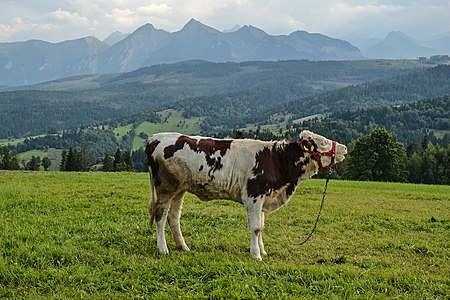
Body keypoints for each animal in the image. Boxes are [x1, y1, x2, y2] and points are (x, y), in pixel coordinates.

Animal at [146, 131, 346, 260]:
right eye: (323, 142)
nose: (344, 147)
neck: (274, 159)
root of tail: (155, 138)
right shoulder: (253, 195)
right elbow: (256, 228)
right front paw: (256, 255)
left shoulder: (264, 197)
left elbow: (261, 227)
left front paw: (262, 251)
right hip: (165, 188)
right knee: (161, 216)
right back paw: (163, 248)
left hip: (180, 189)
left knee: (173, 217)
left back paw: (183, 246)